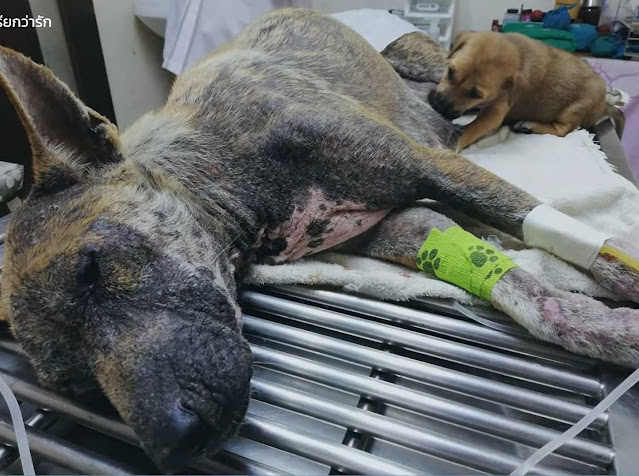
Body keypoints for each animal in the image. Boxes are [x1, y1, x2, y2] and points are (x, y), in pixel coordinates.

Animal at [429, 31, 626, 151]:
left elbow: (473, 128)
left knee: (563, 129)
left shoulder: (495, 112)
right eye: (450, 71)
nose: (438, 106)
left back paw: (530, 125)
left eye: (475, 94)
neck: (519, 53)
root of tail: (603, 104)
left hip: (573, 110)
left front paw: (454, 143)